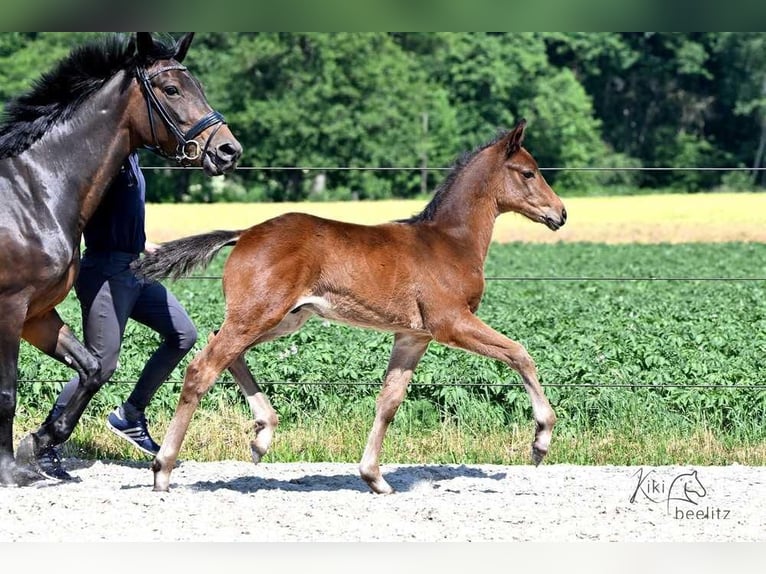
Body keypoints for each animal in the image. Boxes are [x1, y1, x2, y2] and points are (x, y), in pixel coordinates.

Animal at [0, 33, 243, 488]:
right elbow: (7, 392)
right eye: (172, 89)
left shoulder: (36, 314)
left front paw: (39, 444)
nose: (227, 150)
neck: (33, 193)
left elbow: (93, 367)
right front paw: (11, 469)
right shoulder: (10, 309)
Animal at [135, 120, 564, 496]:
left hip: (283, 319)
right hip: (258, 316)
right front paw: (541, 440)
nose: (560, 213)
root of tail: (244, 234)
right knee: (202, 369)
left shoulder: (412, 336)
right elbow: (519, 354)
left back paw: (263, 435)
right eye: (528, 173)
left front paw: (374, 477)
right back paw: (163, 470)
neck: (448, 242)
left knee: (226, 352)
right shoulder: (451, 323)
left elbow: (389, 402)